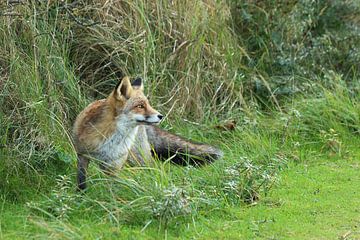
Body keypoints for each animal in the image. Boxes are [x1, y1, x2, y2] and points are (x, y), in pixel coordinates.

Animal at [73, 76, 222, 189]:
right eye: (140, 106)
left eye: (148, 104)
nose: (161, 116)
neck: (110, 139)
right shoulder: (82, 155)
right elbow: (81, 180)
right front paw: (82, 194)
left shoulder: (114, 163)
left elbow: (111, 185)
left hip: (139, 158)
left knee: (150, 168)